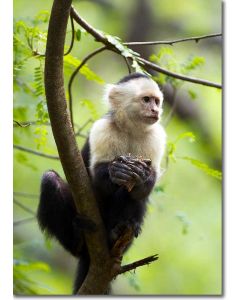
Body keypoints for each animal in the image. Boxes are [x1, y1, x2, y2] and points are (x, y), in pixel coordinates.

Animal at [37, 72, 166, 292]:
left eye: (156, 101)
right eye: (146, 100)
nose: (155, 110)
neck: (131, 129)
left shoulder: (156, 136)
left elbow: (143, 189)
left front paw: (141, 175)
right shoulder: (103, 128)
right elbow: (98, 177)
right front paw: (118, 171)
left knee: (130, 196)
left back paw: (120, 230)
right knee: (50, 180)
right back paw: (77, 241)